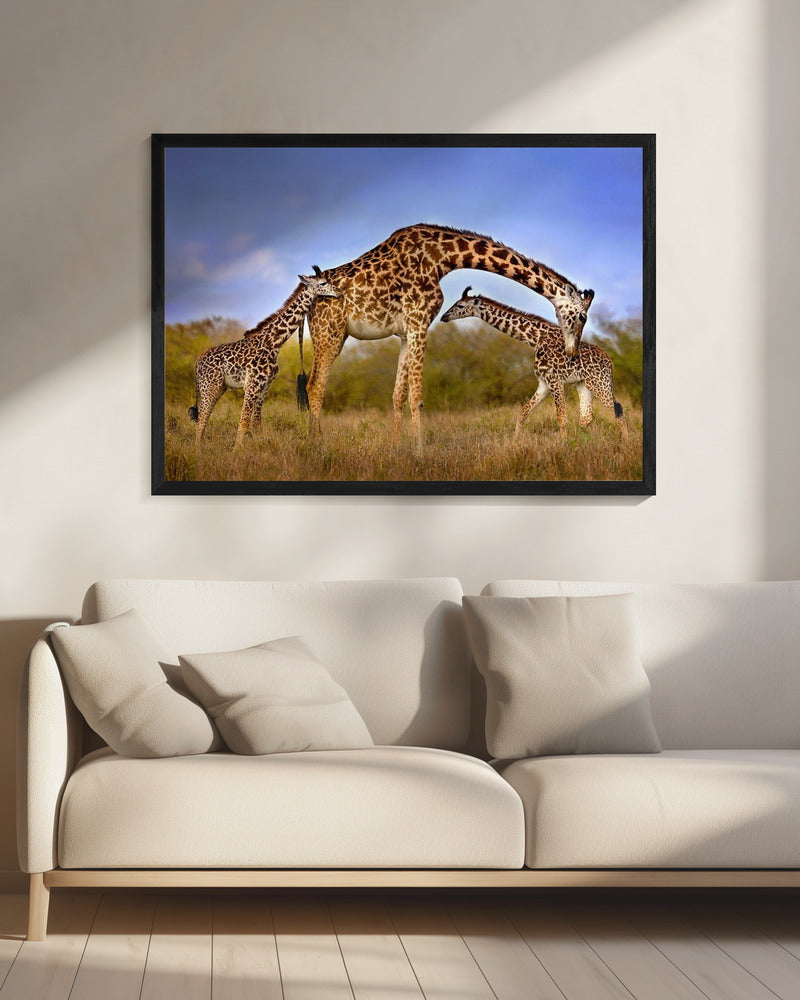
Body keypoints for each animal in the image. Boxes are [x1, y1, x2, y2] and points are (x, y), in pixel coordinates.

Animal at [188, 268, 342, 448]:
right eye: (323, 282)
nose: (339, 292)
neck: (274, 342)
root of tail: (197, 362)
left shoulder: (264, 386)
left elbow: (256, 424)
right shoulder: (252, 385)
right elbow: (244, 422)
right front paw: (236, 452)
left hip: (219, 388)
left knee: (203, 419)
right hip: (210, 386)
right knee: (201, 421)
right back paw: (197, 451)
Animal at [303, 224, 593, 451]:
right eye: (582, 317)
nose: (572, 353)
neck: (443, 257)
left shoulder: (407, 331)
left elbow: (398, 395)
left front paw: (397, 449)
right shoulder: (420, 321)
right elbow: (417, 396)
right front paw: (420, 453)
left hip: (333, 335)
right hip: (330, 334)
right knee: (315, 385)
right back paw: (317, 448)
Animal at [441, 287, 627, 440]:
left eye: (460, 305)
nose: (444, 316)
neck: (535, 339)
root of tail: (609, 361)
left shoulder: (554, 381)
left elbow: (562, 418)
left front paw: (563, 448)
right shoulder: (543, 383)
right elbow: (522, 413)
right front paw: (515, 443)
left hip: (599, 383)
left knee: (617, 408)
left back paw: (625, 445)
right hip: (584, 384)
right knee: (587, 417)